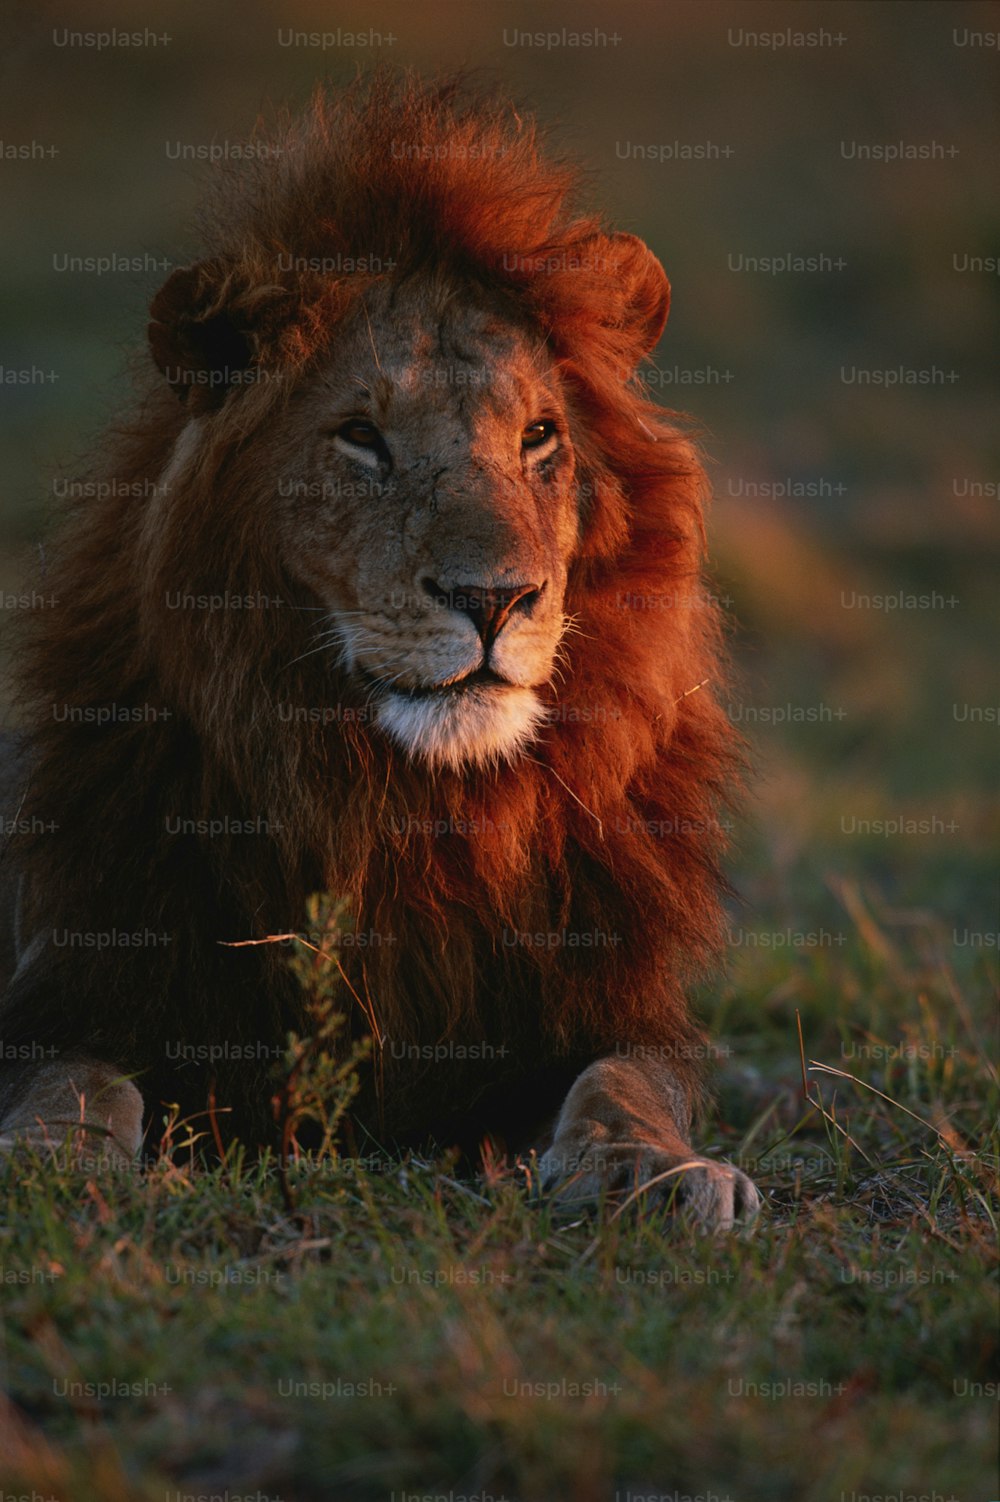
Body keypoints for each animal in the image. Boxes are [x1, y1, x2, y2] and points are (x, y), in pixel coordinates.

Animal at [0, 70, 756, 1225]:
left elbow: (626, 1081)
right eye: (361, 437)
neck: (411, 811)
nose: (494, 598)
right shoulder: (81, 982)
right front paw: (46, 1157)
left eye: (540, 435)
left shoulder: (600, 1005)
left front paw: (658, 1169)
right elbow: (72, 1080)